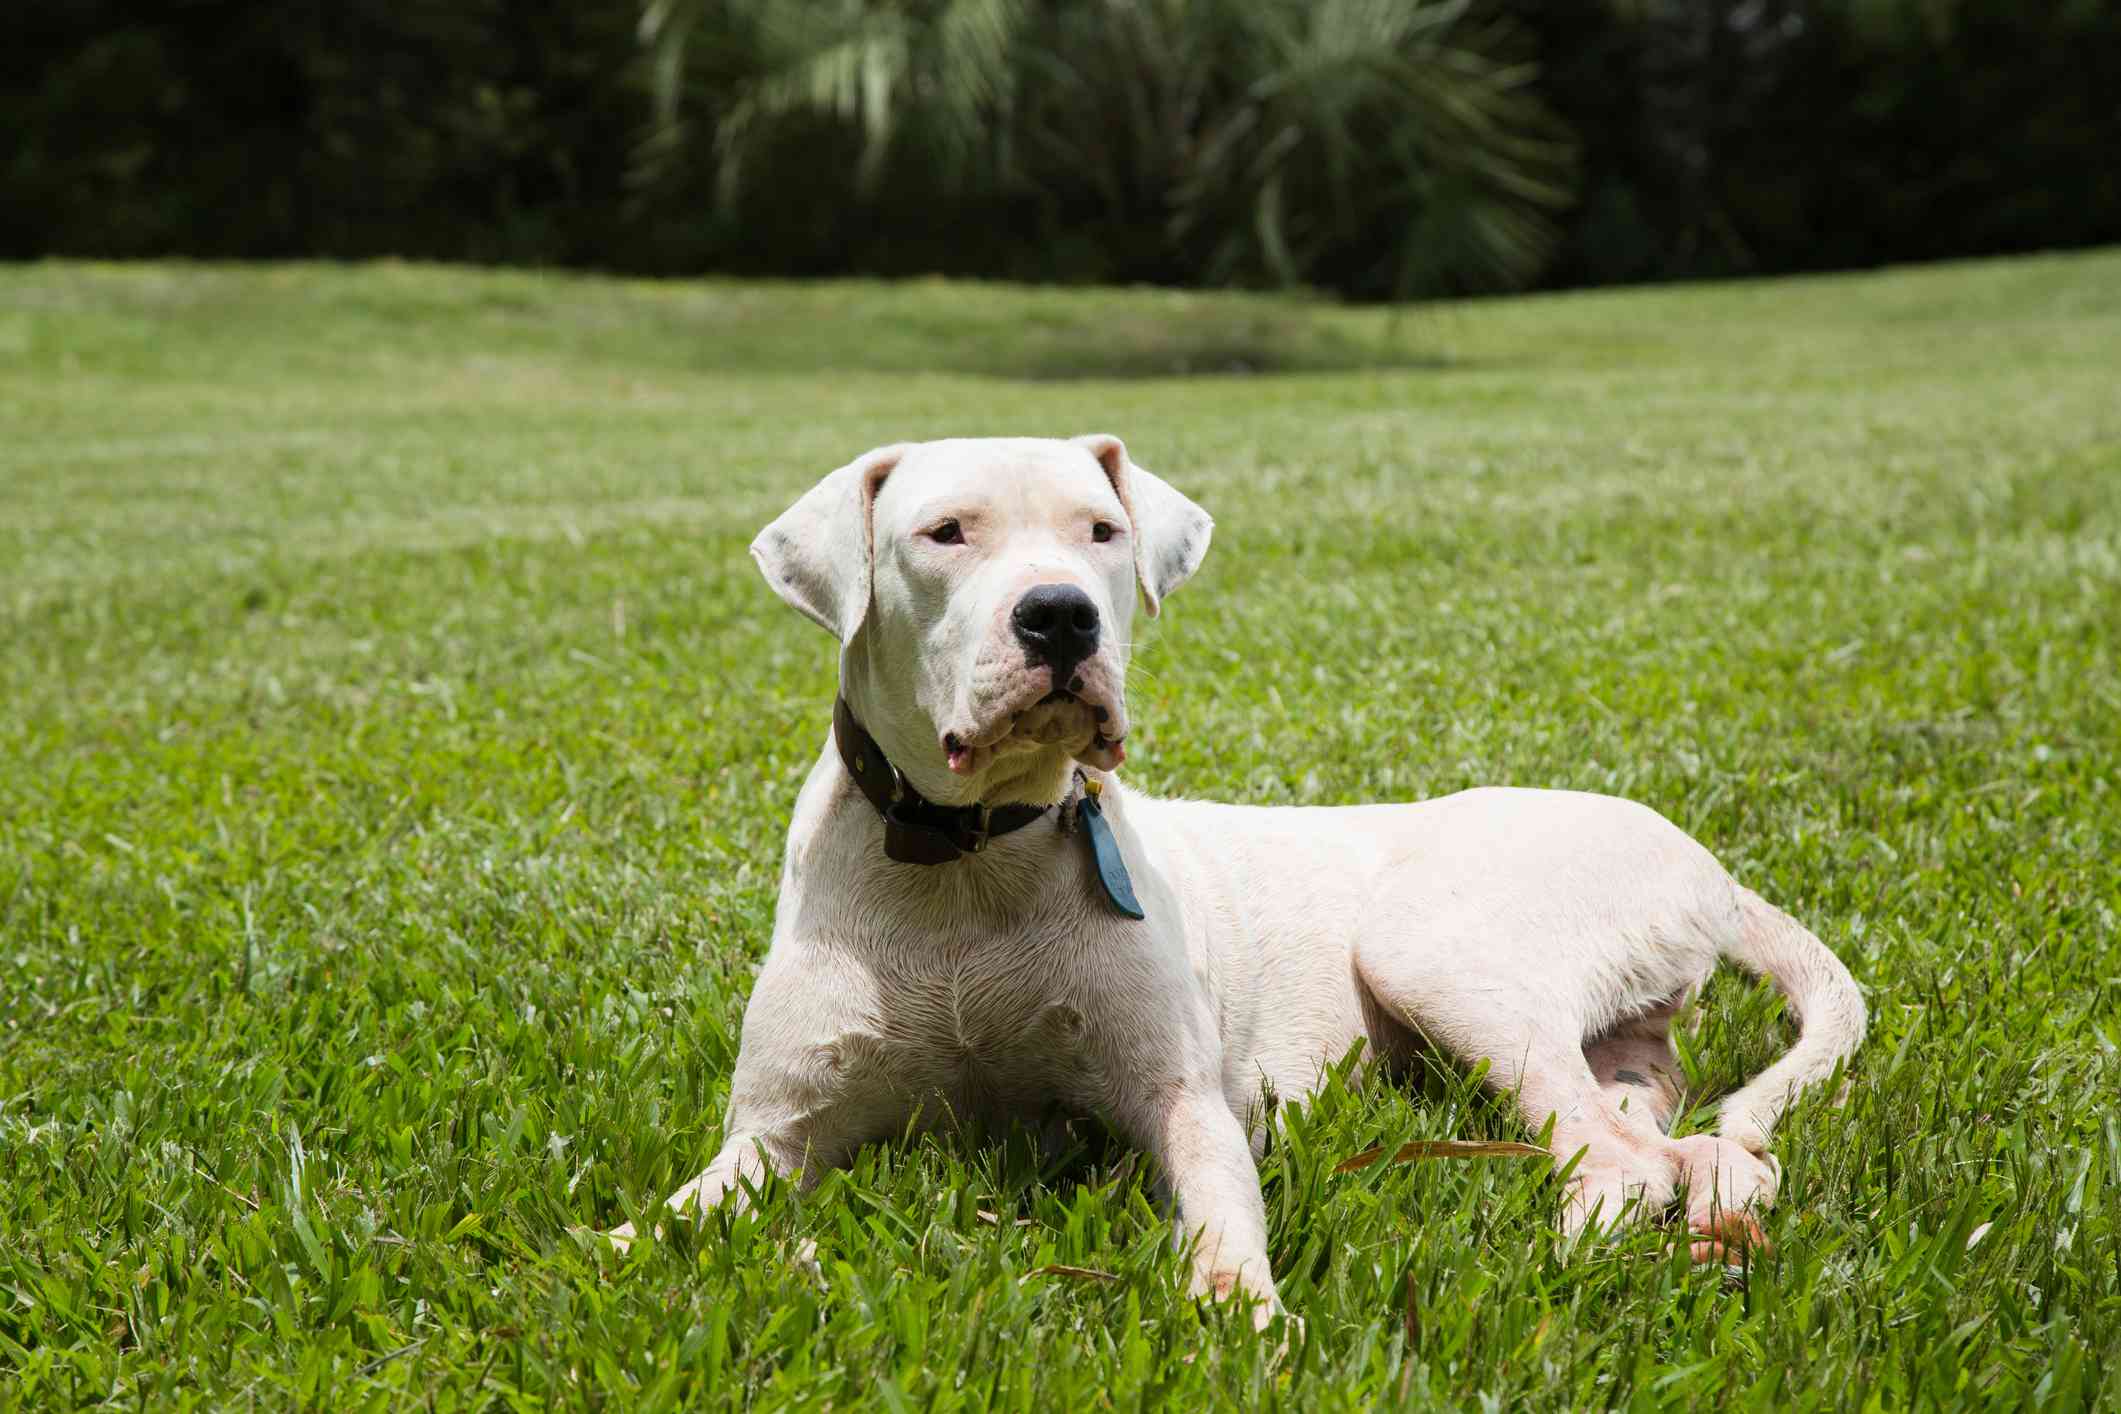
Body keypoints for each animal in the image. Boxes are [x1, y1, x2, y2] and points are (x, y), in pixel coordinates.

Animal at [610, 434, 1857, 1331]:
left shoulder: (1184, 1098)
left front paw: (1240, 1311)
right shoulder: (774, 1133)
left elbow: (1217, 1209)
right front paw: (618, 1251)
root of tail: (1701, 858)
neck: (972, 859)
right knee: (1693, 1145)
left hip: (1432, 949)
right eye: (944, 532)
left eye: (1103, 530)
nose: (1061, 613)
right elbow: (677, 1215)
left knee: (1621, 1159)